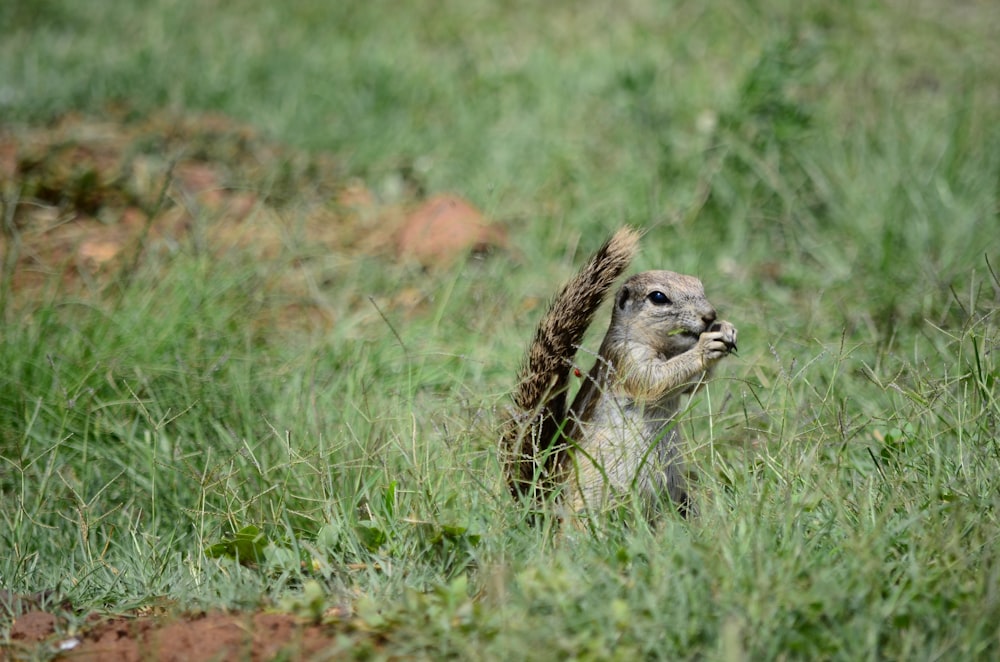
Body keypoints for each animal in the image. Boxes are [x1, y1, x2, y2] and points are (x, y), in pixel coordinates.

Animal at [504, 228, 740, 520]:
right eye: (658, 297)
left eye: (699, 286)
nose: (710, 315)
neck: (664, 346)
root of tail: (541, 500)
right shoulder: (626, 359)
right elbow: (655, 381)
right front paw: (705, 346)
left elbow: (692, 387)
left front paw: (725, 328)